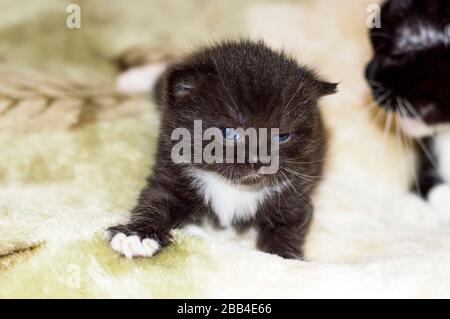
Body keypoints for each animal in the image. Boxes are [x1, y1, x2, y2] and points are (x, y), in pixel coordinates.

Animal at [107, 40, 336, 260]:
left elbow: (287, 229)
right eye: (229, 132)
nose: (259, 160)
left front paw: (286, 256)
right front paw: (137, 235)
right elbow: (155, 201)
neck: (233, 187)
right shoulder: (170, 171)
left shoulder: (296, 193)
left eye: (281, 136)